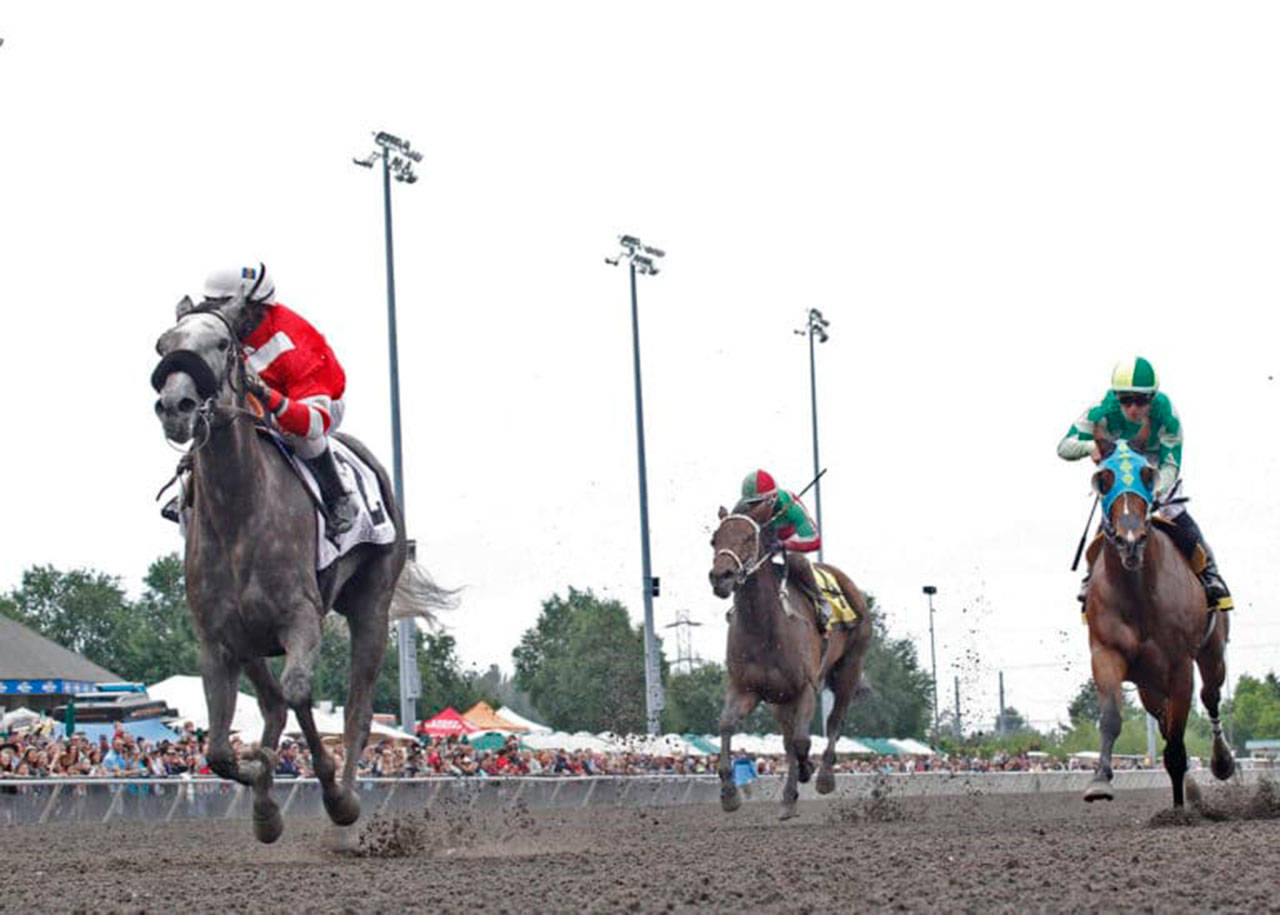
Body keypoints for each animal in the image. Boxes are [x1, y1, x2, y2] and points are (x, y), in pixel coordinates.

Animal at [151, 300, 450, 844]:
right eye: (164, 344)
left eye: (222, 344)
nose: (176, 405)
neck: (239, 512)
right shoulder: (216, 639)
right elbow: (219, 750)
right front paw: (262, 789)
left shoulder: (301, 618)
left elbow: (300, 695)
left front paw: (331, 794)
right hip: (250, 641)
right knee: (271, 705)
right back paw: (266, 800)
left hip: (372, 608)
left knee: (354, 711)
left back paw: (344, 800)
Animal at [706, 496, 875, 819]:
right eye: (714, 539)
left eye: (749, 537)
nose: (721, 577)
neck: (765, 627)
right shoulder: (746, 688)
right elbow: (726, 724)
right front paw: (729, 793)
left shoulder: (806, 686)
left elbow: (801, 740)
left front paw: (810, 770)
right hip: (779, 699)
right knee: (787, 739)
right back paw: (789, 796)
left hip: (849, 668)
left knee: (833, 723)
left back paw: (822, 777)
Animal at [1085, 440, 1233, 803]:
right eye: (1103, 479)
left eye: (1146, 474)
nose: (1130, 540)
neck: (1138, 592)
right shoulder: (1106, 653)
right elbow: (1111, 718)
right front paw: (1100, 779)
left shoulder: (1180, 664)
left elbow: (1177, 748)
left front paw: (1180, 808)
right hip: (1147, 683)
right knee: (1163, 718)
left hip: (1212, 652)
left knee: (1210, 696)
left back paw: (1222, 762)